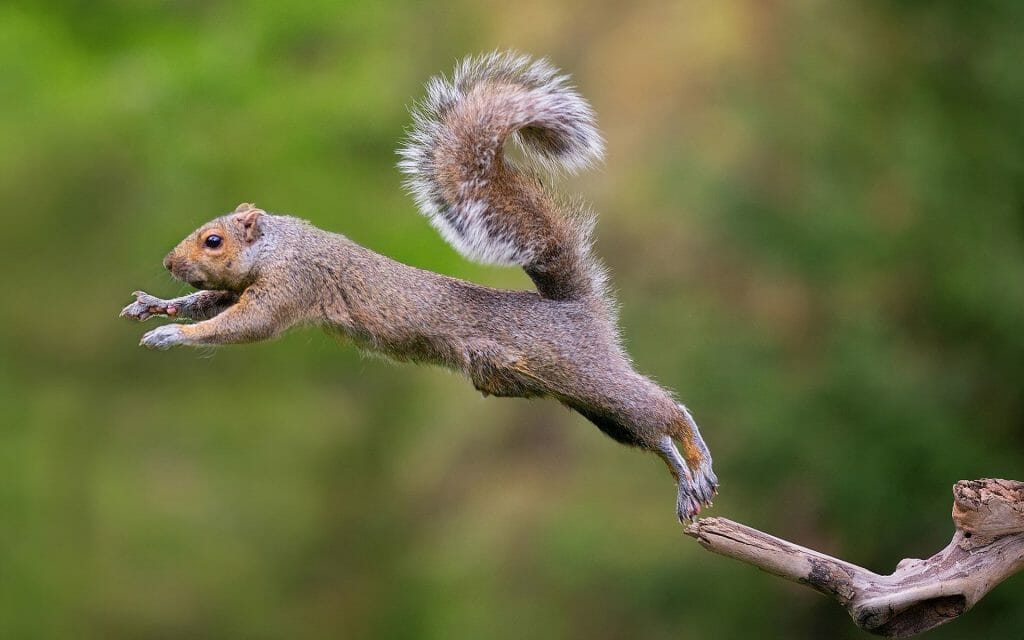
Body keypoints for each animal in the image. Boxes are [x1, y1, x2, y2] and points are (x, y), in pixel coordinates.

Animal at [120, 52, 717, 521]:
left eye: (213, 240)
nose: (169, 262)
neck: (278, 246)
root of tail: (575, 307)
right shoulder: (246, 285)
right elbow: (210, 302)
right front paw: (159, 306)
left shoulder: (293, 283)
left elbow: (243, 324)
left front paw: (172, 337)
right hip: (578, 396)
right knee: (645, 430)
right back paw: (683, 475)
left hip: (581, 370)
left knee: (661, 408)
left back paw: (696, 453)